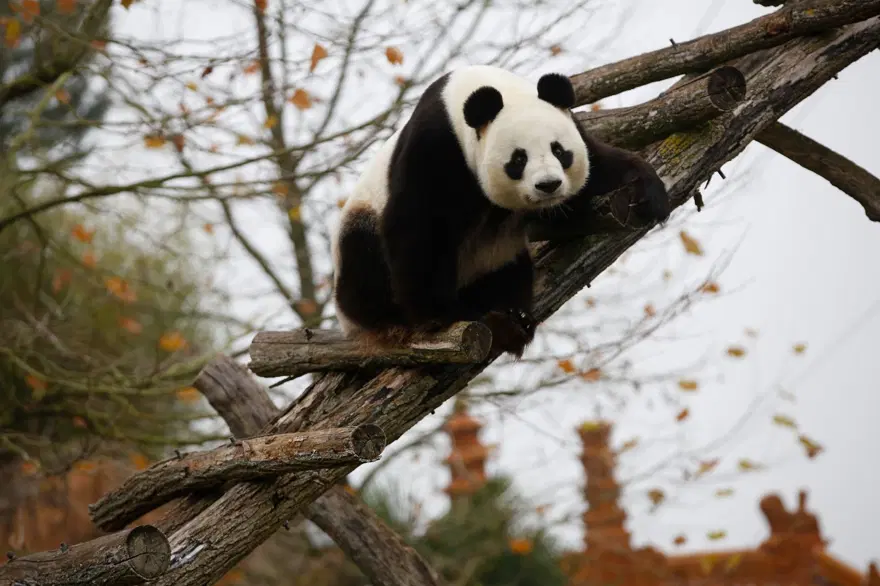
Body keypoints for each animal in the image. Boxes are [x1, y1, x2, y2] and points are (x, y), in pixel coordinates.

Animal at [331, 64, 669, 358]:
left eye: (559, 151)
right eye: (518, 159)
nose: (548, 185)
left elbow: (599, 166)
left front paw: (649, 194)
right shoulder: (434, 148)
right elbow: (417, 228)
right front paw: (440, 315)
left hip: (495, 255)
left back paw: (511, 315)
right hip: (360, 231)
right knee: (365, 263)